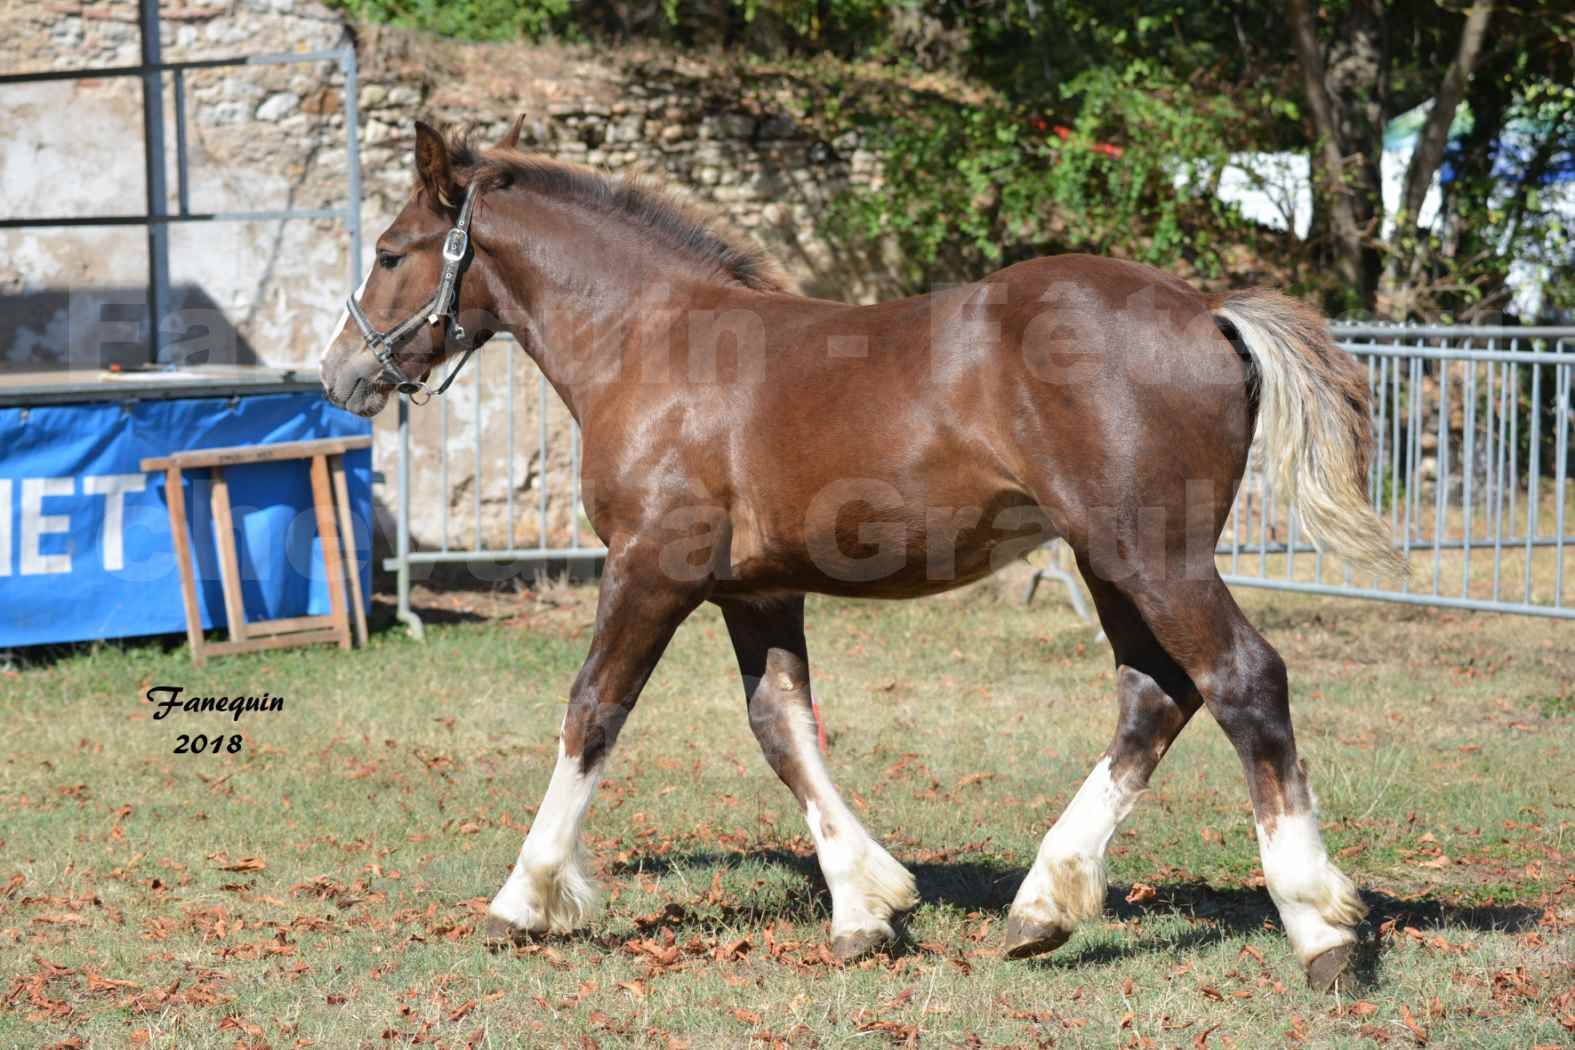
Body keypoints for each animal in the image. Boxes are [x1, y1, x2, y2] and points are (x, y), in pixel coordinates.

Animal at [319, 123, 1404, 994]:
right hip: (1108, 562)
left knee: (1241, 680)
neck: (657, 343)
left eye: (390, 252)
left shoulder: (650, 570)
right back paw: (1041, 907)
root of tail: (1208, 311)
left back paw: (1319, 930)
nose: (340, 374)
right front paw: (866, 908)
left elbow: (594, 714)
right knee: (1155, 695)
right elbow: (782, 729)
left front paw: (523, 899)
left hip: (1154, 554)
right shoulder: (753, 594)